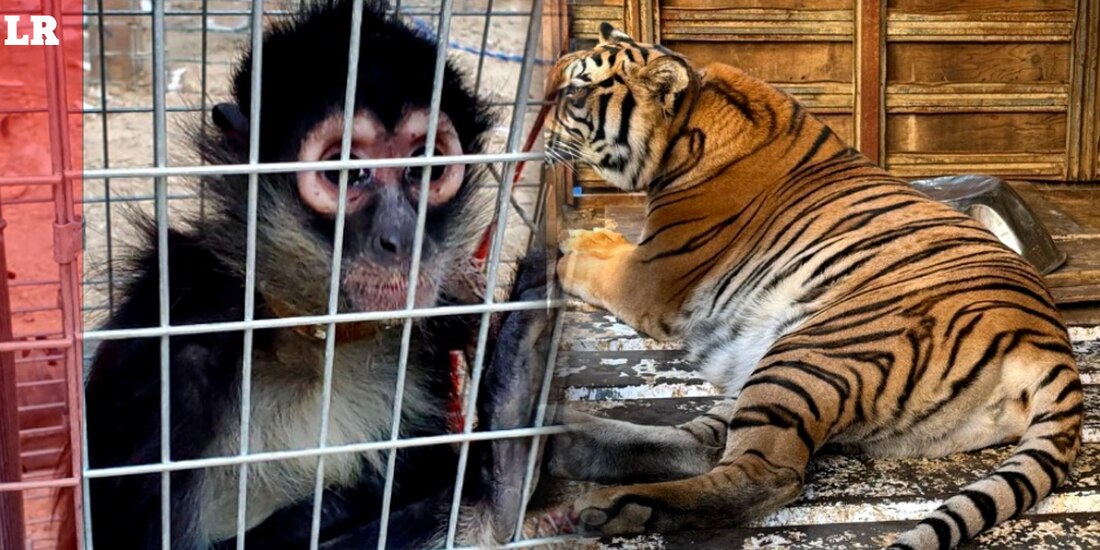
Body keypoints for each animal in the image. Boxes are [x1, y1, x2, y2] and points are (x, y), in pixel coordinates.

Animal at [541, 22, 1083, 550]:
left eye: (573, 94)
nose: (533, 130)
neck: (688, 120)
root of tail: (1050, 346)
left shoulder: (648, 280)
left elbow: (587, 269)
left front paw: (563, 250)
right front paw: (586, 236)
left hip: (811, 354)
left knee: (762, 473)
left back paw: (618, 504)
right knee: (704, 443)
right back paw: (567, 440)